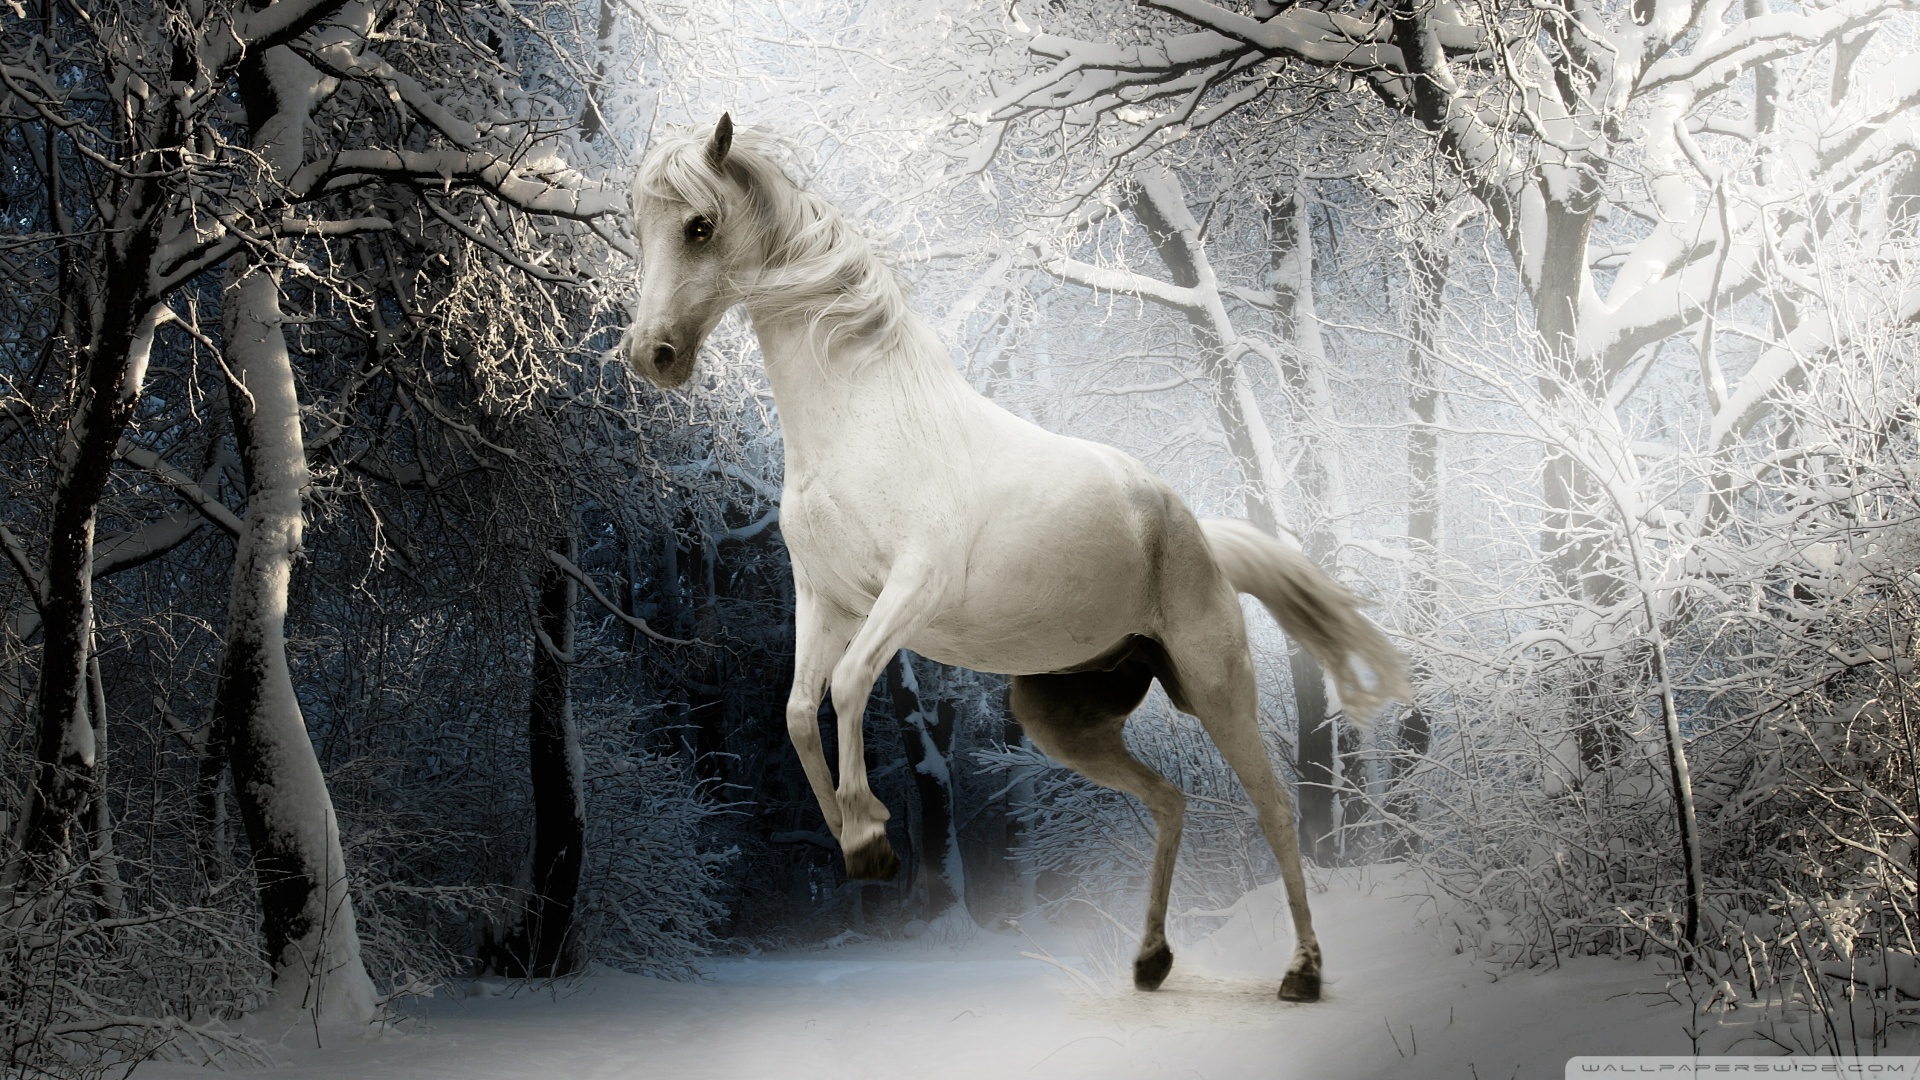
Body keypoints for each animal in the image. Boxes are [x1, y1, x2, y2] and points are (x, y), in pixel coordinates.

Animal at [619, 115, 1409, 1002]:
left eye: (699, 226)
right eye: (638, 228)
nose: (650, 355)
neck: (864, 421)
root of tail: (1196, 531)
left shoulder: (910, 590)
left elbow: (849, 685)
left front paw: (870, 834)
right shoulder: (825, 599)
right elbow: (795, 711)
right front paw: (856, 842)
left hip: (1216, 685)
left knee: (1274, 807)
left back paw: (1302, 973)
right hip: (1061, 718)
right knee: (1169, 800)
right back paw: (1151, 961)